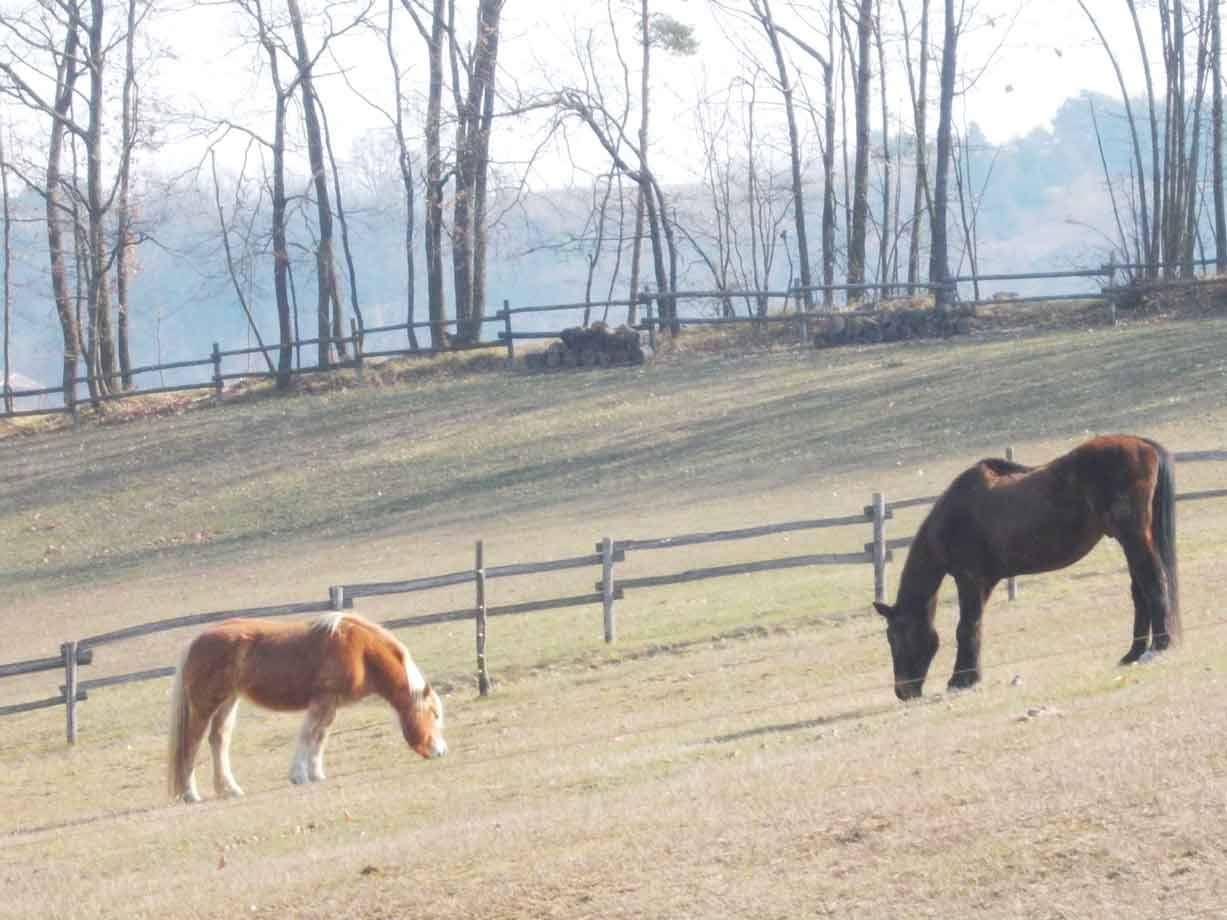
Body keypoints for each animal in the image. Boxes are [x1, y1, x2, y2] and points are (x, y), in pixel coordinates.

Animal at [169, 612, 447, 803]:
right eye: (433, 714)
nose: (441, 752)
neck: (361, 650)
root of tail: (194, 642)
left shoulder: (331, 704)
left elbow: (320, 737)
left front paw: (316, 773)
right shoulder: (323, 700)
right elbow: (308, 735)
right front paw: (299, 776)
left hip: (227, 702)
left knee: (219, 741)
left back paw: (229, 789)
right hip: (205, 706)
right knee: (191, 745)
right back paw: (191, 794)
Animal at [872, 434, 1179, 701]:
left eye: (894, 637)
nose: (902, 692)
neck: (954, 516)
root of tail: (1141, 443)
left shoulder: (969, 580)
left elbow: (966, 627)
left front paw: (961, 679)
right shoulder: (982, 583)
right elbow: (975, 627)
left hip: (1134, 539)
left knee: (1154, 582)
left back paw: (1160, 645)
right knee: (1140, 591)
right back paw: (1133, 653)